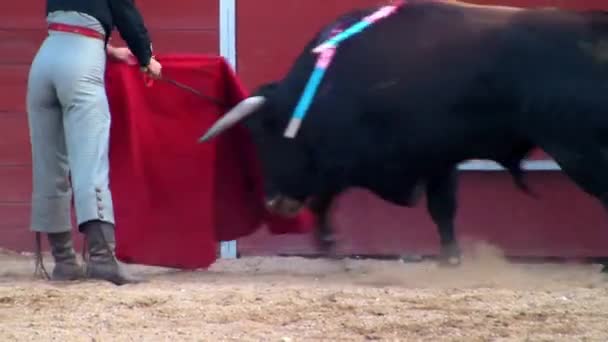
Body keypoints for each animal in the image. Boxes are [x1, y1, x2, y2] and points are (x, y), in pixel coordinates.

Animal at [200, 1, 608, 272]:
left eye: (268, 137)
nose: (275, 203)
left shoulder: (359, 158)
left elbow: (327, 195)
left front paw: (329, 242)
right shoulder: (437, 157)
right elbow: (442, 206)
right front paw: (451, 257)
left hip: (578, 149)